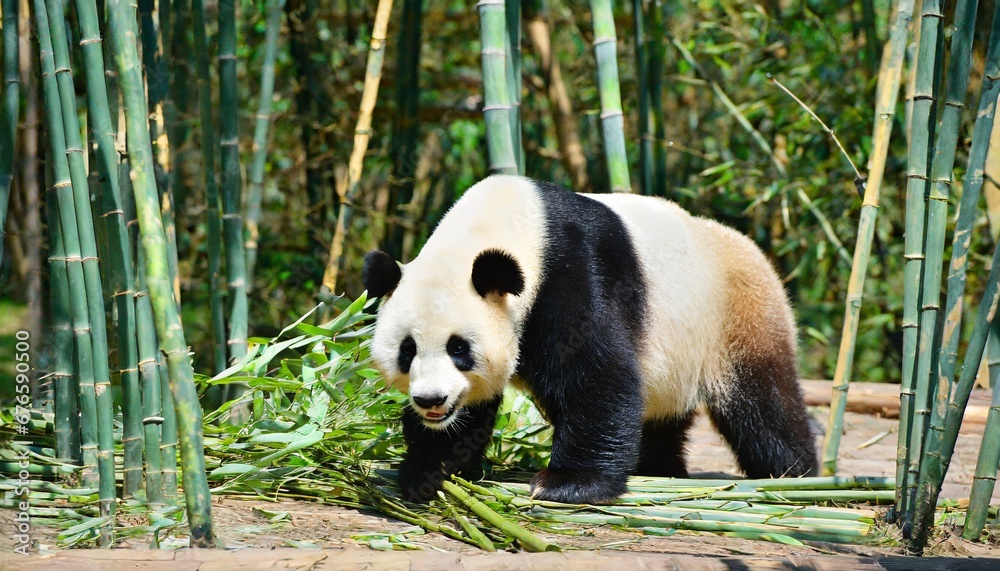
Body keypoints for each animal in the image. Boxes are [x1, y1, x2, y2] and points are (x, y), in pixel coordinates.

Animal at [362, 175, 818, 504]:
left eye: (459, 348)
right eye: (407, 351)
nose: (431, 400)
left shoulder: (571, 272)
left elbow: (598, 376)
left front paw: (567, 483)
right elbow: (472, 412)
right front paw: (429, 468)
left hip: (737, 316)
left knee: (763, 403)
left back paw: (794, 475)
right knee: (661, 414)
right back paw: (658, 468)